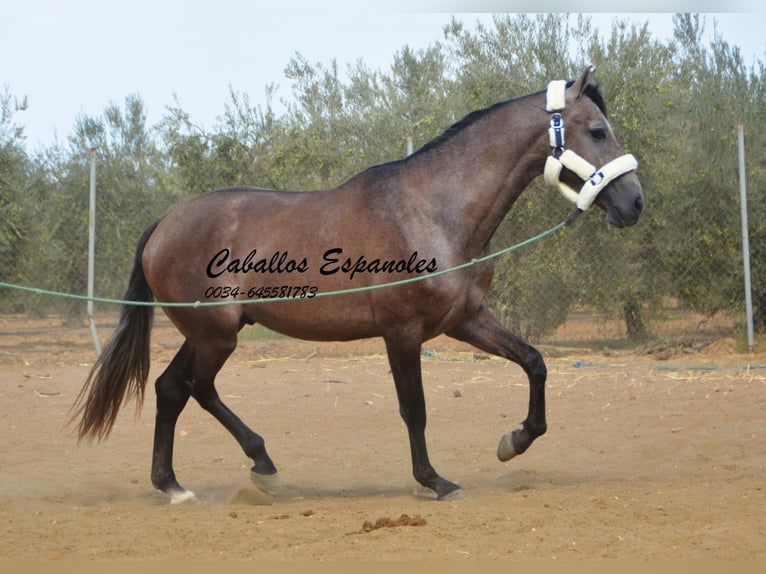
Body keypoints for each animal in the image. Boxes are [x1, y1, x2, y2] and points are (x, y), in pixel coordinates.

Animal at [75, 66, 644, 504]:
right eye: (597, 130)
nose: (635, 202)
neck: (432, 211)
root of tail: (163, 226)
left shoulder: (464, 320)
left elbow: (534, 361)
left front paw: (515, 440)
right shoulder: (402, 331)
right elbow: (414, 408)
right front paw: (435, 481)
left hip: (210, 333)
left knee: (175, 389)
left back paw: (188, 481)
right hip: (215, 334)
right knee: (193, 388)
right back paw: (244, 468)